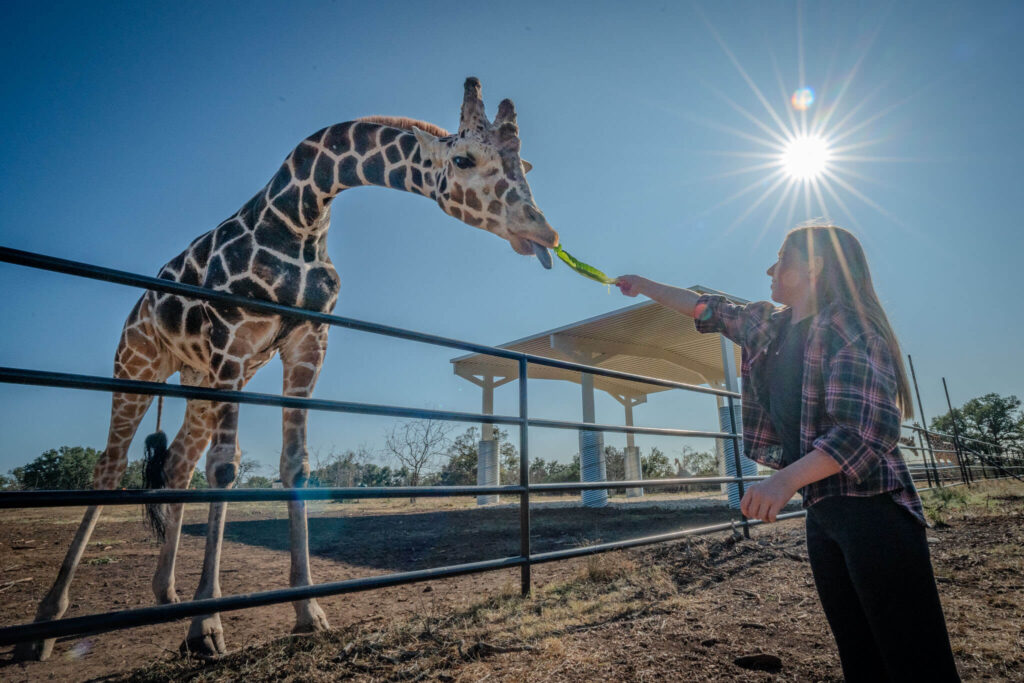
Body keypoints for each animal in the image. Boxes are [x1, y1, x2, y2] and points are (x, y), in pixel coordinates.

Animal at [16, 77, 559, 661]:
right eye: (463, 159)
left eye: (524, 165)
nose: (544, 232)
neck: (300, 217)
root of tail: (137, 307)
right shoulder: (232, 341)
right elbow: (225, 470)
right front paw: (208, 627)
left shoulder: (306, 343)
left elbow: (294, 466)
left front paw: (308, 610)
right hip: (138, 363)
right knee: (110, 467)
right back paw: (46, 623)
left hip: (201, 378)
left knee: (178, 464)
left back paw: (166, 593)